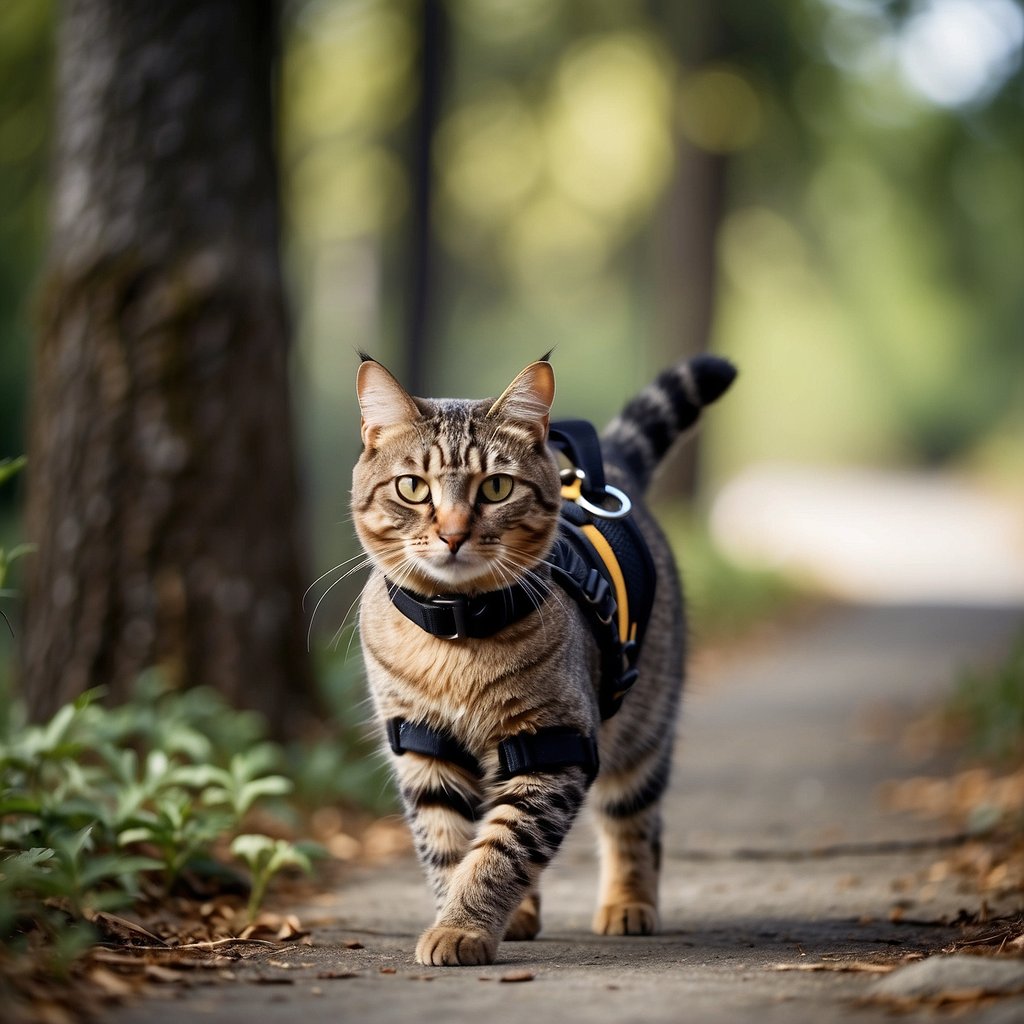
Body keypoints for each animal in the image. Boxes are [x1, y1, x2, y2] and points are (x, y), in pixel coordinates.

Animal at [352, 348, 737, 962]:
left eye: (496, 488)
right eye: (413, 487)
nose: (453, 534)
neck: (457, 631)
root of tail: (606, 477)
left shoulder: (551, 745)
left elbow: (501, 850)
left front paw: (462, 926)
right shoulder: (424, 745)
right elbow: (452, 847)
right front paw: (460, 916)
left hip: (644, 728)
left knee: (636, 822)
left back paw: (629, 903)